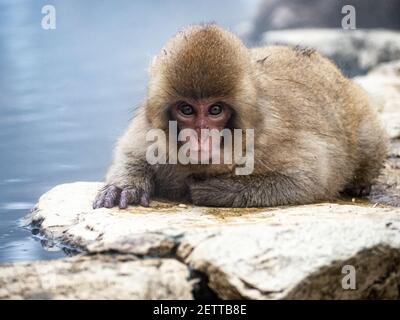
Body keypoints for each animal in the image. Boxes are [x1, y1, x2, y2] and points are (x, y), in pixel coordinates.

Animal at [93, 23, 388, 209]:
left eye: (215, 110)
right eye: (187, 109)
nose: (200, 136)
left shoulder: (271, 139)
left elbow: (308, 180)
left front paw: (212, 190)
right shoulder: (150, 129)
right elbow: (132, 152)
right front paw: (125, 186)